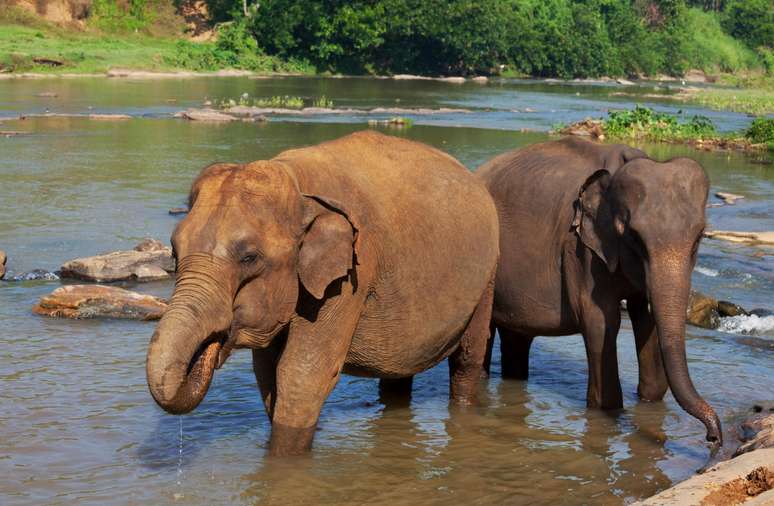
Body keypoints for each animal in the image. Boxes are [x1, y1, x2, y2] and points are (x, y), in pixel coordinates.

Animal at [146, 129, 500, 454]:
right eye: (175, 250)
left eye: (249, 258)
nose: (212, 344)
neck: (298, 185)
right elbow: (267, 371)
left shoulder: (353, 273)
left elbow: (302, 373)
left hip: (487, 276)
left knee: (467, 359)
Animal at [482, 136, 724, 444]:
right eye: (634, 237)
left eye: (699, 237)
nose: (713, 438)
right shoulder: (580, 248)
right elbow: (602, 320)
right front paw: (608, 412)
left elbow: (644, 316)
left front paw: (649, 402)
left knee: (517, 338)